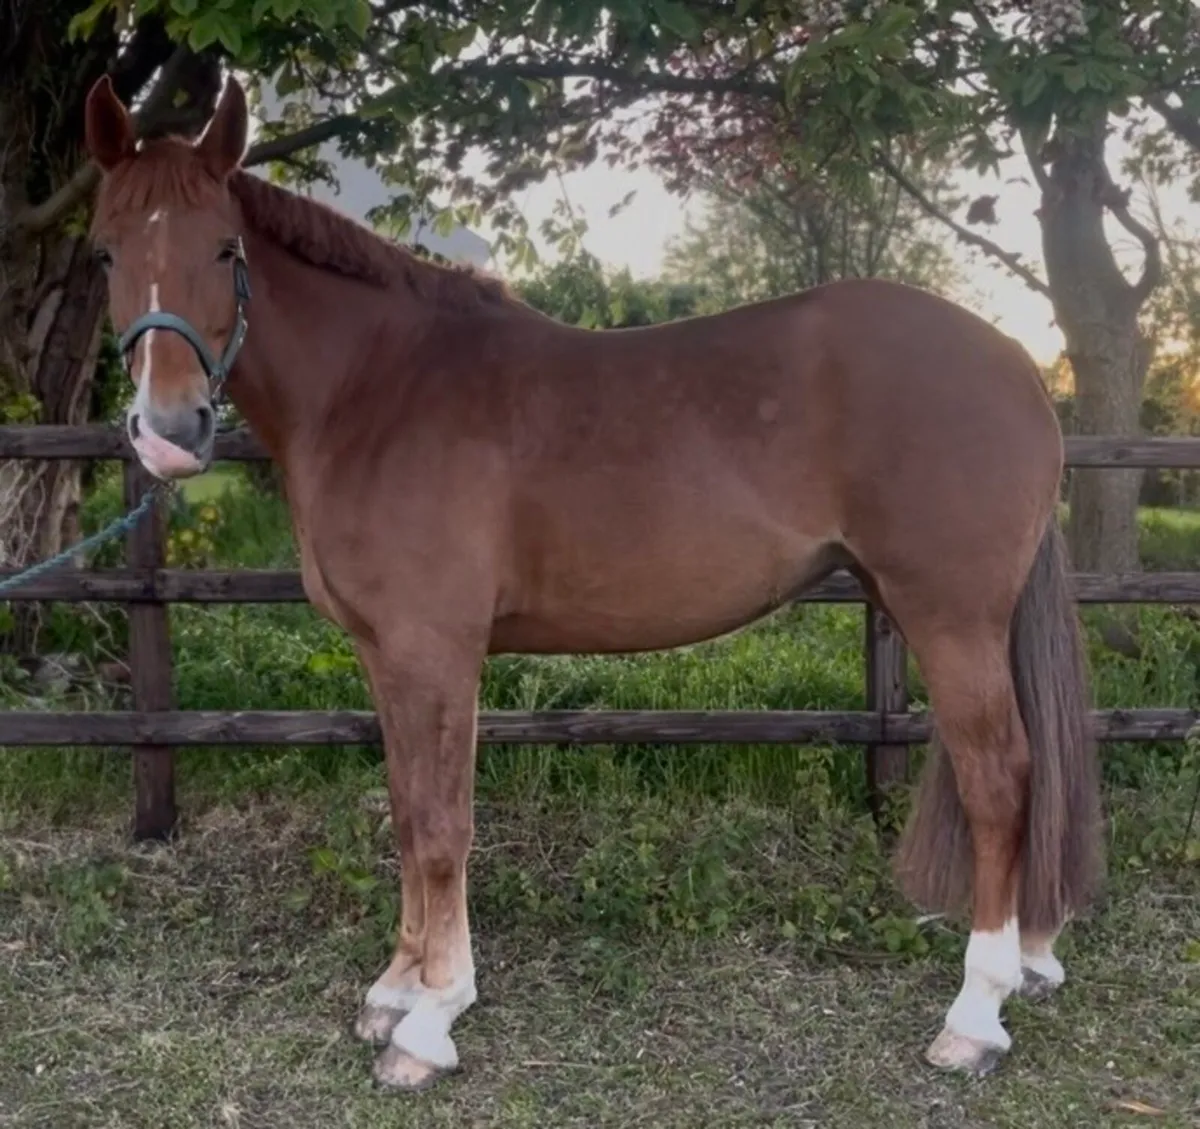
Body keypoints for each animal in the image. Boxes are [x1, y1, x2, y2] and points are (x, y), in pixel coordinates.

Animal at [83, 72, 1102, 1090]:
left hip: (950, 618)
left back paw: (975, 1013)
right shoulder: (386, 655)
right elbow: (407, 810)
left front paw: (432, 1019)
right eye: (105, 249)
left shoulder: (435, 649)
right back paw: (1032, 961)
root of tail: (1015, 362)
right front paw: (396, 990)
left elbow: (443, 822)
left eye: (225, 246)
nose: (169, 430)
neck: (377, 389)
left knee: (1000, 778)